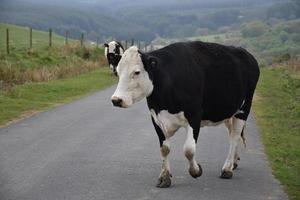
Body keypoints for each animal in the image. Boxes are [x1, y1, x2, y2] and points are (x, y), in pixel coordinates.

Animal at [110, 41, 260, 188]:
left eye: (136, 72)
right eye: (118, 71)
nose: (116, 99)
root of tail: (245, 53)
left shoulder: (194, 116)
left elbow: (189, 149)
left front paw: (196, 170)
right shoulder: (156, 118)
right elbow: (164, 148)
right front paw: (165, 177)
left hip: (244, 108)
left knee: (235, 136)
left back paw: (227, 169)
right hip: (229, 111)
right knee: (233, 134)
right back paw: (234, 162)